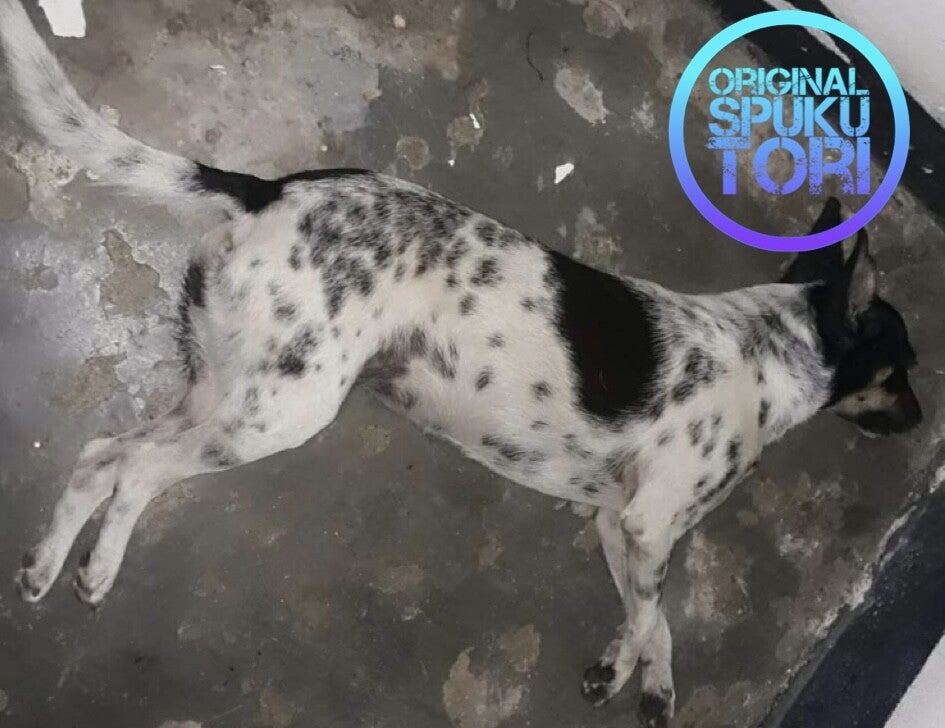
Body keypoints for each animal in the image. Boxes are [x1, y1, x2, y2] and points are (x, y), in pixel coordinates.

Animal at [0, 2, 923, 725]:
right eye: (905, 368)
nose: (920, 424)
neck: (767, 353)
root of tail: (270, 190)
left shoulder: (617, 524)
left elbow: (648, 613)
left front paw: (638, 678)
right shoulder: (646, 524)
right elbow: (654, 617)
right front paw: (634, 677)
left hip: (223, 389)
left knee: (102, 456)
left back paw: (49, 568)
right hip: (276, 413)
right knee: (141, 470)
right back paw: (96, 568)